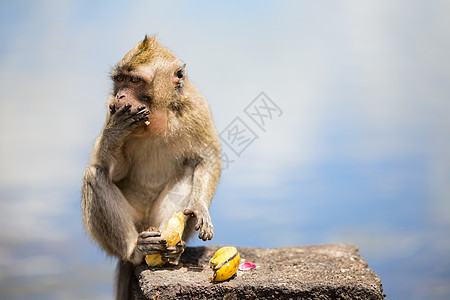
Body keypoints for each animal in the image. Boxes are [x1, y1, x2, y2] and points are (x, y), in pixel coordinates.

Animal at [81, 35, 222, 300]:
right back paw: (135, 251)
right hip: (133, 224)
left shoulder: (197, 108)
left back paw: (171, 251)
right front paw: (115, 131)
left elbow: (207, 158)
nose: (120, 97)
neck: (158, 115)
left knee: (189, 170)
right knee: (94, 175)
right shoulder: (110, 110)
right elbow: (111, 170)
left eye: (135, 80)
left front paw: (200, 207)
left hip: (156, 220)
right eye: (119, 80)